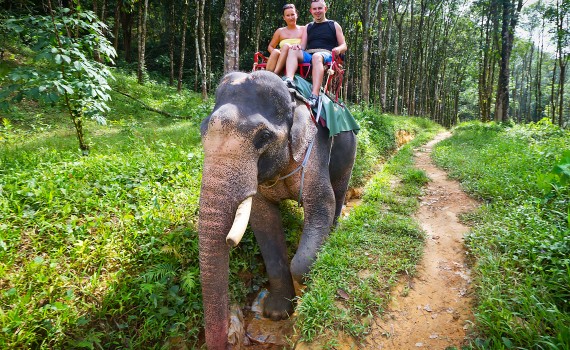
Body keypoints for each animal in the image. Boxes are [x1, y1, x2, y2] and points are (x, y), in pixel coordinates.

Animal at [197, 69, 352, 348]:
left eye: (263, 137)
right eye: (202, 131)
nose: (229, 339)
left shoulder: (314, 152)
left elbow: (323, 203)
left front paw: (312, 273)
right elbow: (263, 220)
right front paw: (277, 312)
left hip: (350, 149)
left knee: (339, 192)